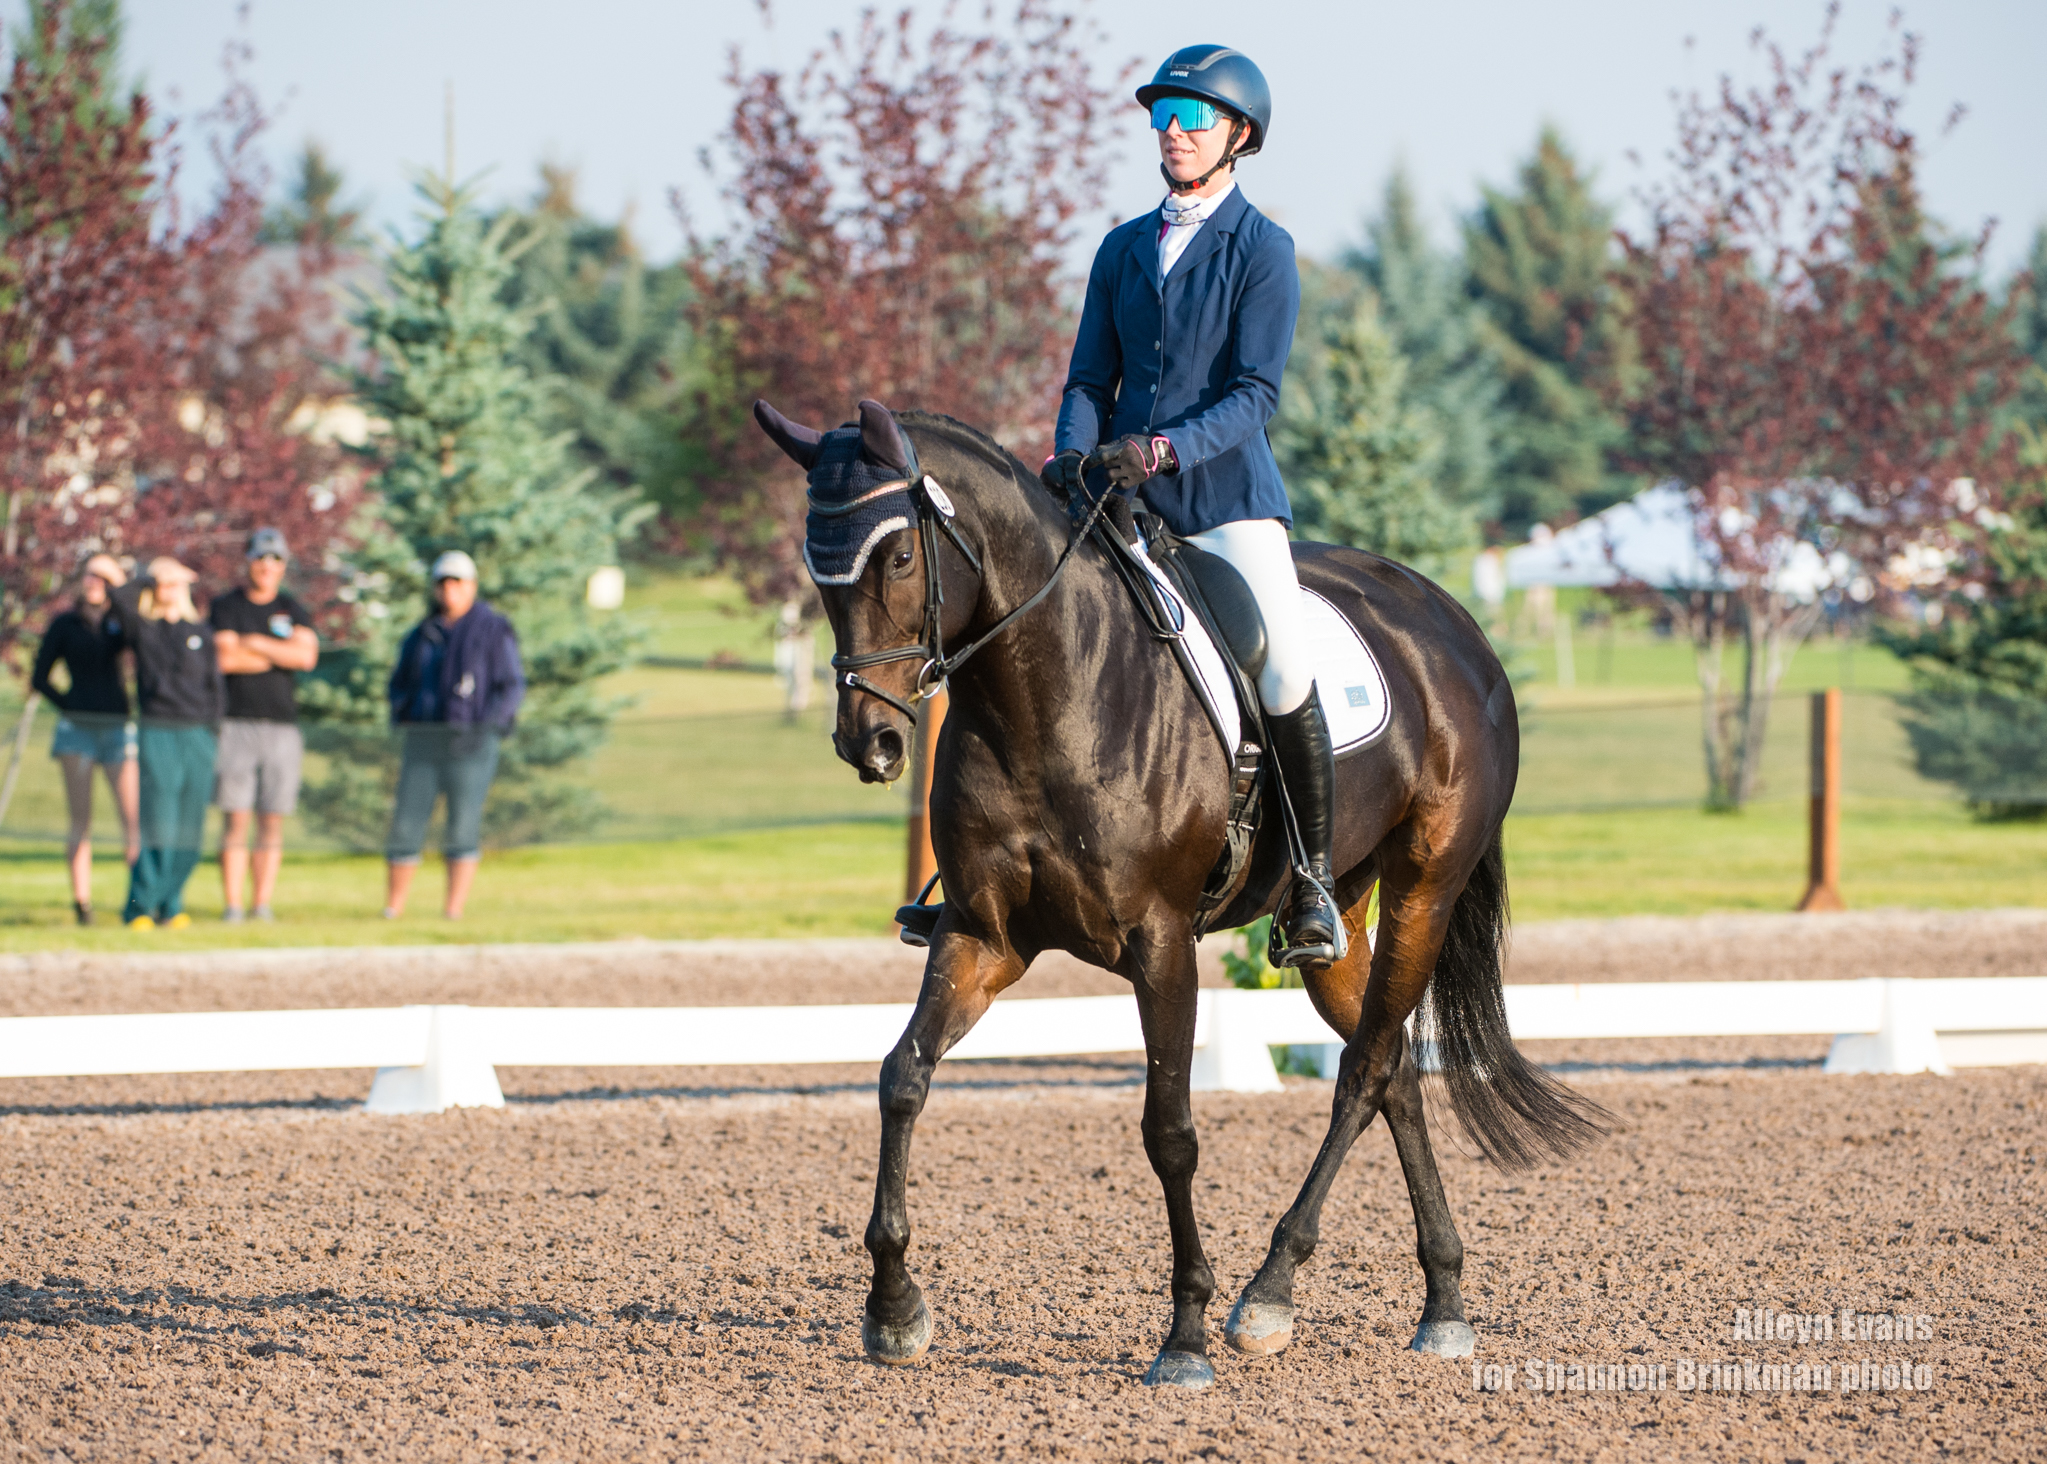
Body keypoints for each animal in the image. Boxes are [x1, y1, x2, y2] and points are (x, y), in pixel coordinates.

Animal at [761, 397, 1604, 1384]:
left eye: (897, 557)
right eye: (816, 569)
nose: (873, 744)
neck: (1043, 692)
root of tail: (1451, 621)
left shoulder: (1160, 944)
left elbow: (1169, 1129)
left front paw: (1185, 1334)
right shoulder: (979, 935)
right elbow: (902, 1079)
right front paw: (894, 1309)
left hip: (1424, 888)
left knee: (1361, 1072)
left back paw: (1268, 1294)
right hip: (1339, 917)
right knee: (1390, 1059)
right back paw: (1441, 1304)